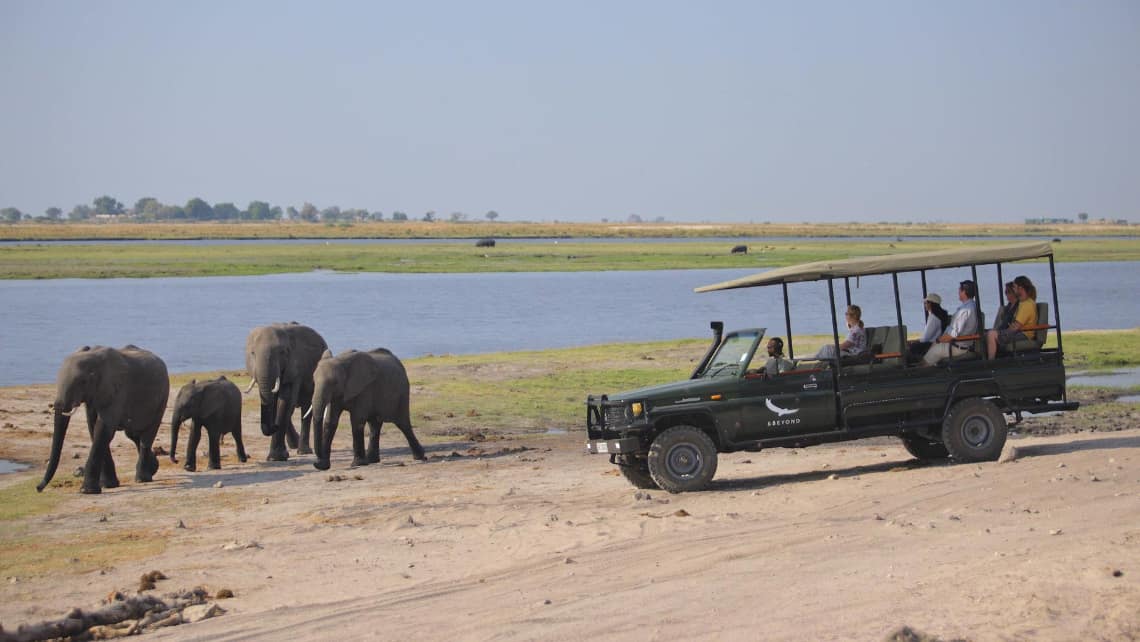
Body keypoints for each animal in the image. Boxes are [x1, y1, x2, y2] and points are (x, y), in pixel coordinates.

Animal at [37, 346, 168, 492]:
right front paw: (108, 485)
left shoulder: (117, 391)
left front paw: (87, 491)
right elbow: (93, 428)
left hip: (162, 399)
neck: (94, 357)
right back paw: (153, 468)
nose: (38, 488)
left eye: (82, 382)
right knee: (133, 434)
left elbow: (103, 430)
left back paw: (142, 478)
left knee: (147, 436)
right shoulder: (93, 397)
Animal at [243, 323, 328, 460]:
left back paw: (303, 451)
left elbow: (286, 402)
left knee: (306, 408)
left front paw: (276, 458)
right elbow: (277, 404)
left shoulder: (294, 368)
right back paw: (294, 445)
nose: (273, 426)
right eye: (252, 353)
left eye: (282, 352)